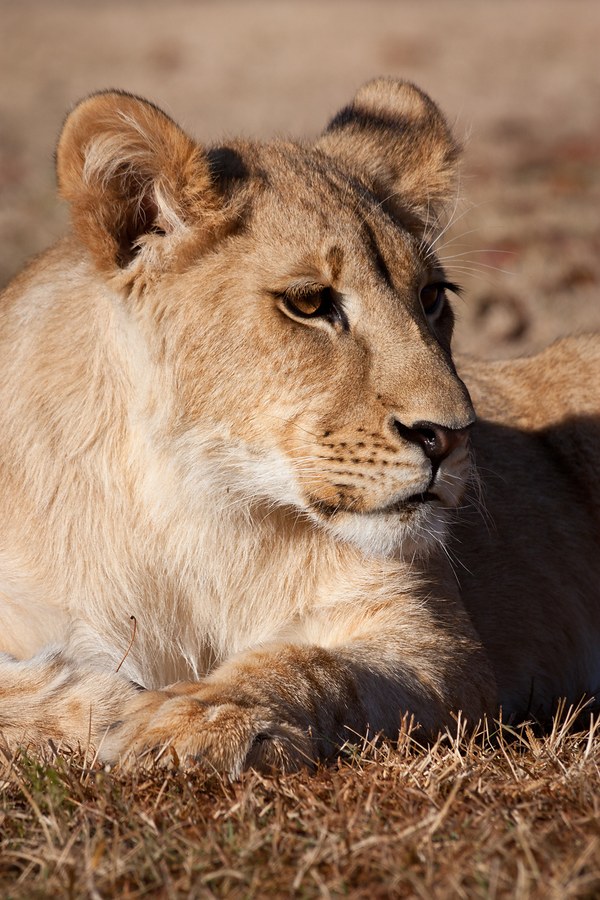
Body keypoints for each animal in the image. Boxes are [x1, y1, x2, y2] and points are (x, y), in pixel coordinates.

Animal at [0, 79, 598, 775]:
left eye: (431, 297)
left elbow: (311, 665)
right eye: (310, 304)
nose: (450, 437)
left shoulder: (430, 637)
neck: (193, 505)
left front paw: (192, 718)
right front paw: (105, 704)